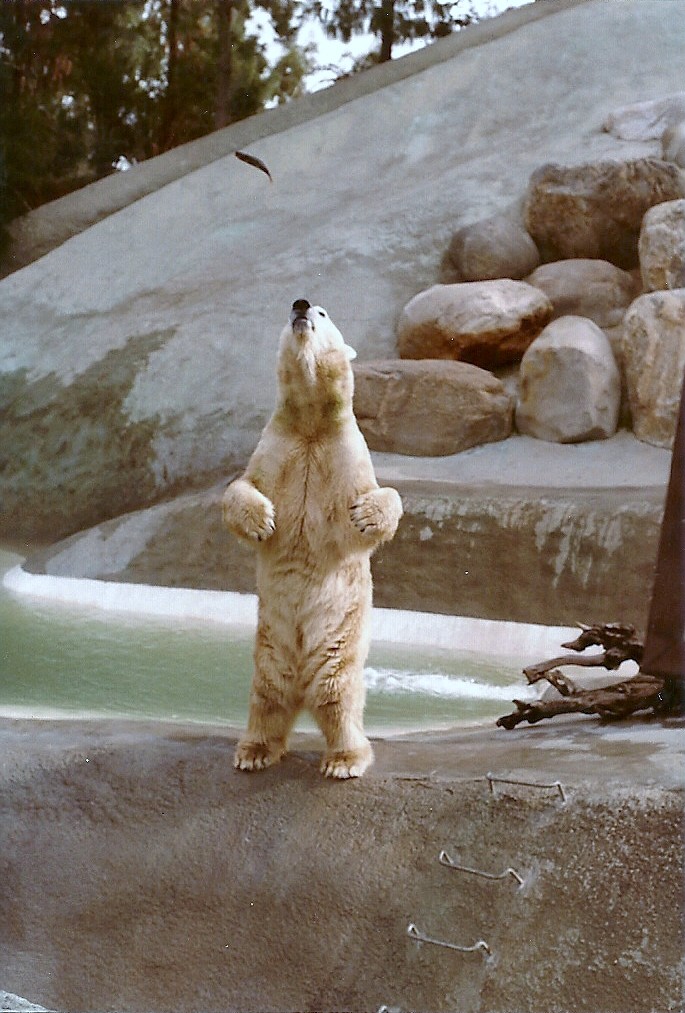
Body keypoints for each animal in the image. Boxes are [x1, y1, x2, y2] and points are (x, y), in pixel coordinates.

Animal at [222, 299, 403, 778]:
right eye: (294, 308)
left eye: (323, 313)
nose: (300, 306)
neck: (309, 423)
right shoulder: (276, 447)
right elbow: (241, 487)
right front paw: (262, 520)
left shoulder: (344, 454)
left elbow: (375, 501)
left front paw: (366, 516)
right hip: (270, 647)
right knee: (267, 695)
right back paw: (254, 751)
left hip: (339, 642)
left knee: (337, 694)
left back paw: (345, 759)